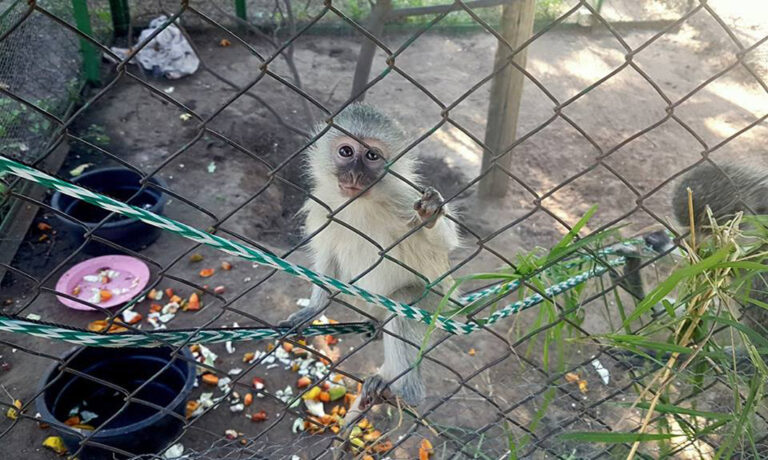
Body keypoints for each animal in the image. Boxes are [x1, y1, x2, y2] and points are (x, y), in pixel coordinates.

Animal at [282, 103, 462, 410]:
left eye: (372, 156)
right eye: (346, 151)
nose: (354, 175)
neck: (360, 203)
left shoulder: (405, 199)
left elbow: (444, 245)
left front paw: (431, 214)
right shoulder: (323, 206)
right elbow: (327, 256)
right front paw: (314, 309)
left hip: (438, 306)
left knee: (403, 304)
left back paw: (406, 392)